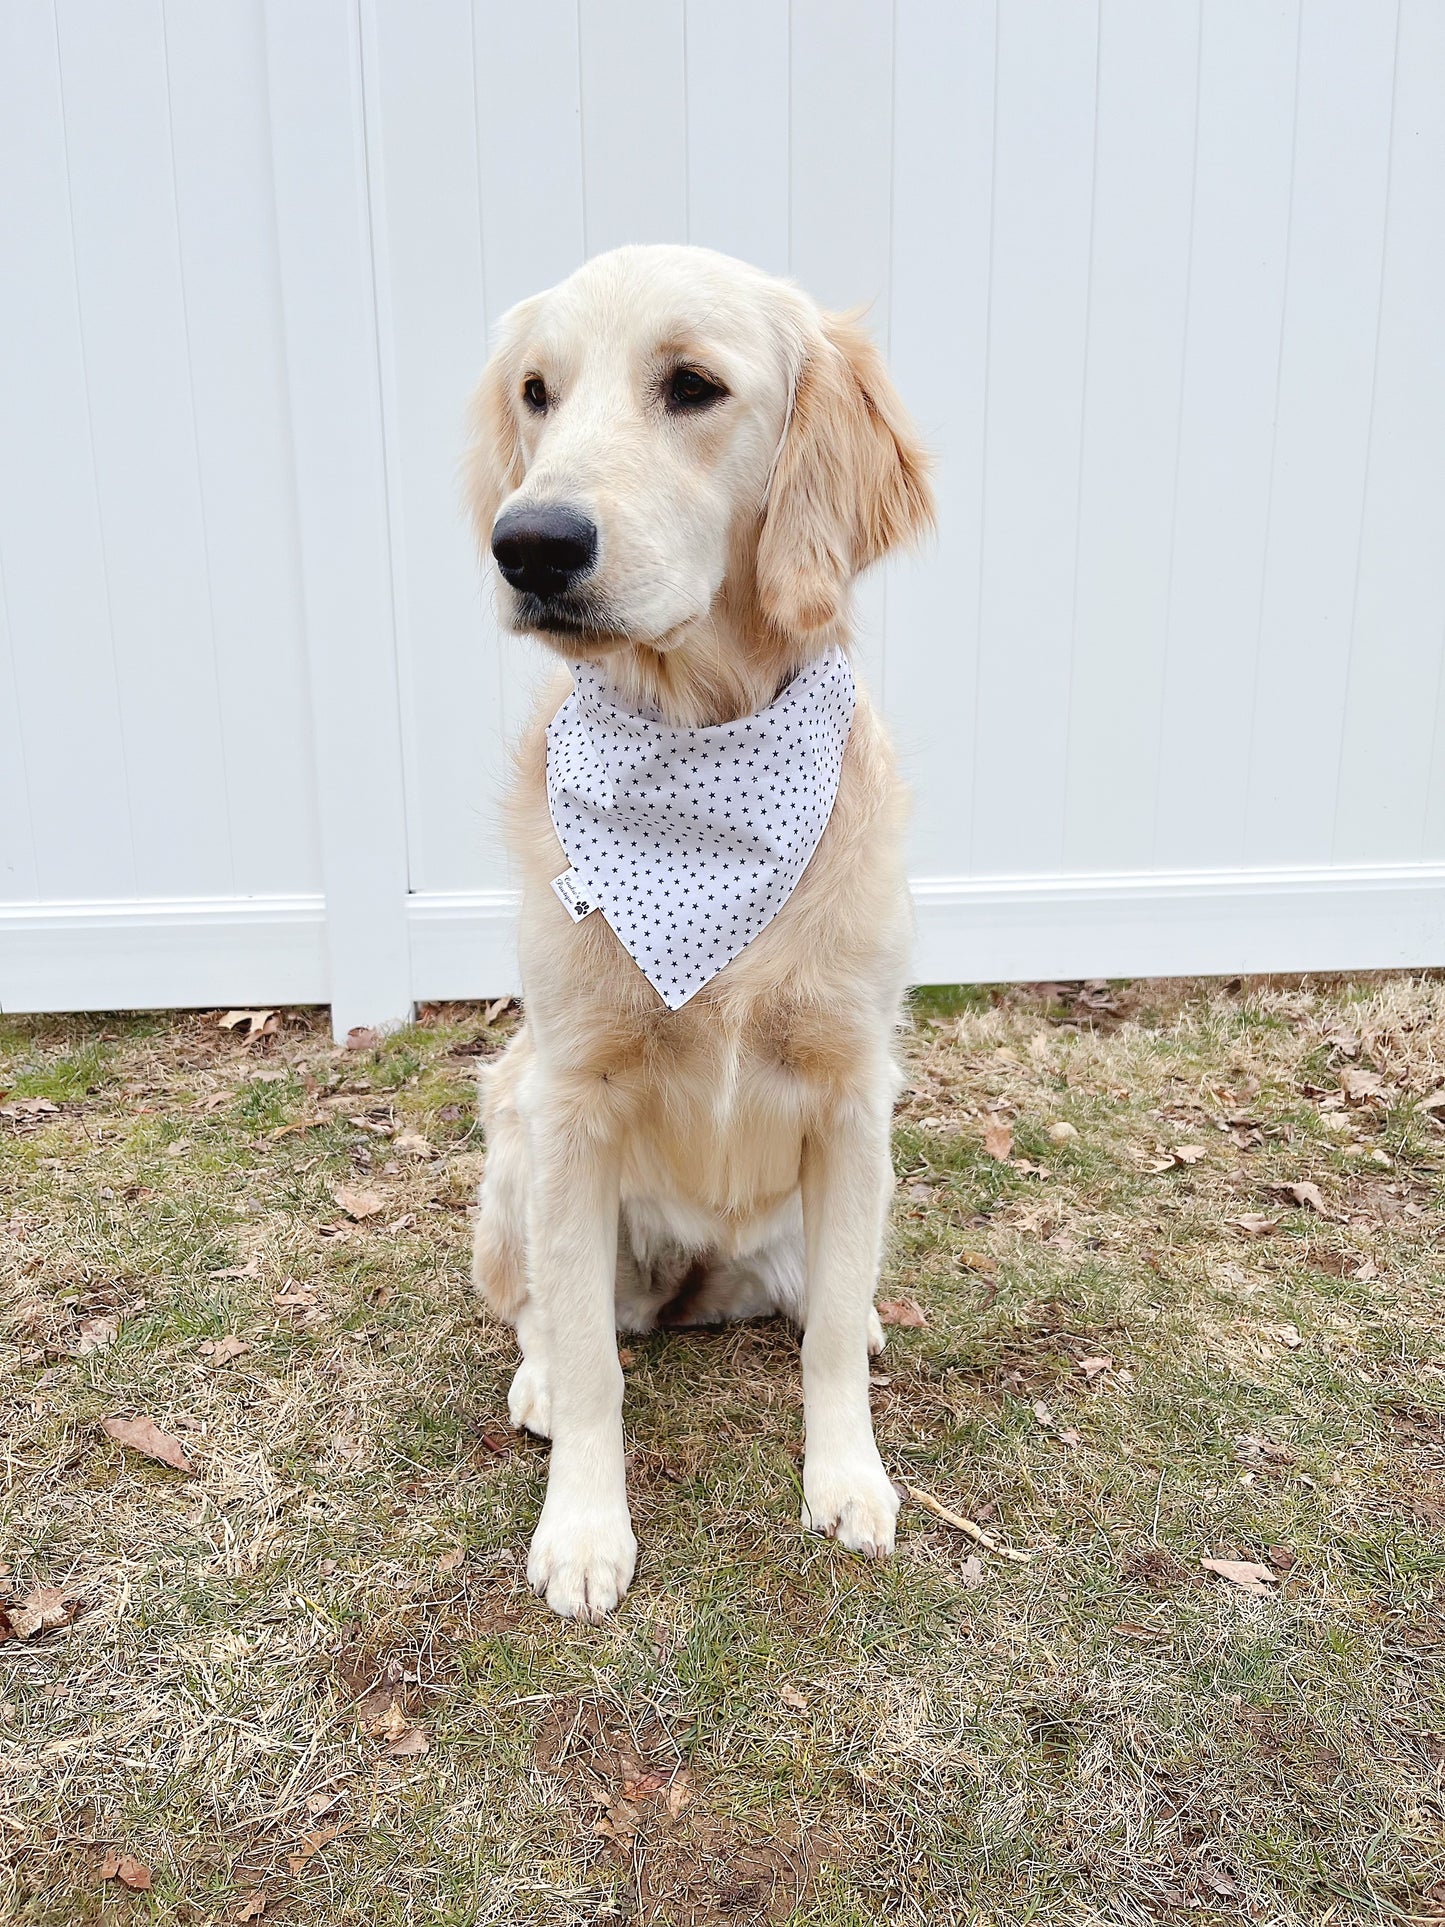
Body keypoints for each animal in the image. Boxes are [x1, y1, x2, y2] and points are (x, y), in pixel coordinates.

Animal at [470, 248, 932, 1618]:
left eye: (691, 386)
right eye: (536, 393)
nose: (528, 543)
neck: (702, 753)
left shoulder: (854, 1090)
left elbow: (827, 1338)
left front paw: (846, 1478)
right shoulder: (571, 1099)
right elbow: (586, 1356)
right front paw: (582, 1530)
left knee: (822, 1295)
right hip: (512, 1124)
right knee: (537, 1310)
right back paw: (535, 1377)